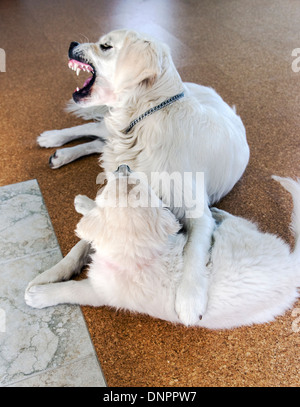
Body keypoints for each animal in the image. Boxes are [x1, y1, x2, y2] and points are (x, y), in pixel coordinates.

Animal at [24, 167, 298, 330]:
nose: (123, 166)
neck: (138, 252)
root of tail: (291, 264)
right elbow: (77, 250)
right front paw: (45, 277)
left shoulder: (101, 291)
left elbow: (73, 289)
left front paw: (39, 295)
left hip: (237, 235)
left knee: (237, 222)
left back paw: (218, 213)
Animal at [36, 29, 250, 326]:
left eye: (105, 46)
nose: (72, 43)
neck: (147, 119)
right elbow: (80, 246)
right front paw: (53, 273)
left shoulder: (198, 213)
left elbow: (193, 250)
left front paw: (190, 298)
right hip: (108, 127)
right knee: (93, 130)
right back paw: (54, 140)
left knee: (98, 140)